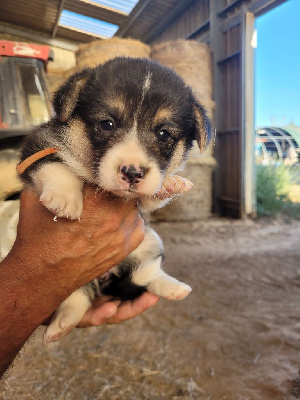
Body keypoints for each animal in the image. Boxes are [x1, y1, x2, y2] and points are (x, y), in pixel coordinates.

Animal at [17, 57, 212, 342]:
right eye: (107, 124)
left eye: (164, 134)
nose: (132, 173)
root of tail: (105, 277)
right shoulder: (36, 147)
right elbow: (56, 165)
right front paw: (65, 198)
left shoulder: (142, 205)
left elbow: (153, 195)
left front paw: (171, 183)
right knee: (76, 298)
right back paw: (60, 326)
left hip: (151, 240)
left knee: (146, 274)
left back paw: (173, 287)